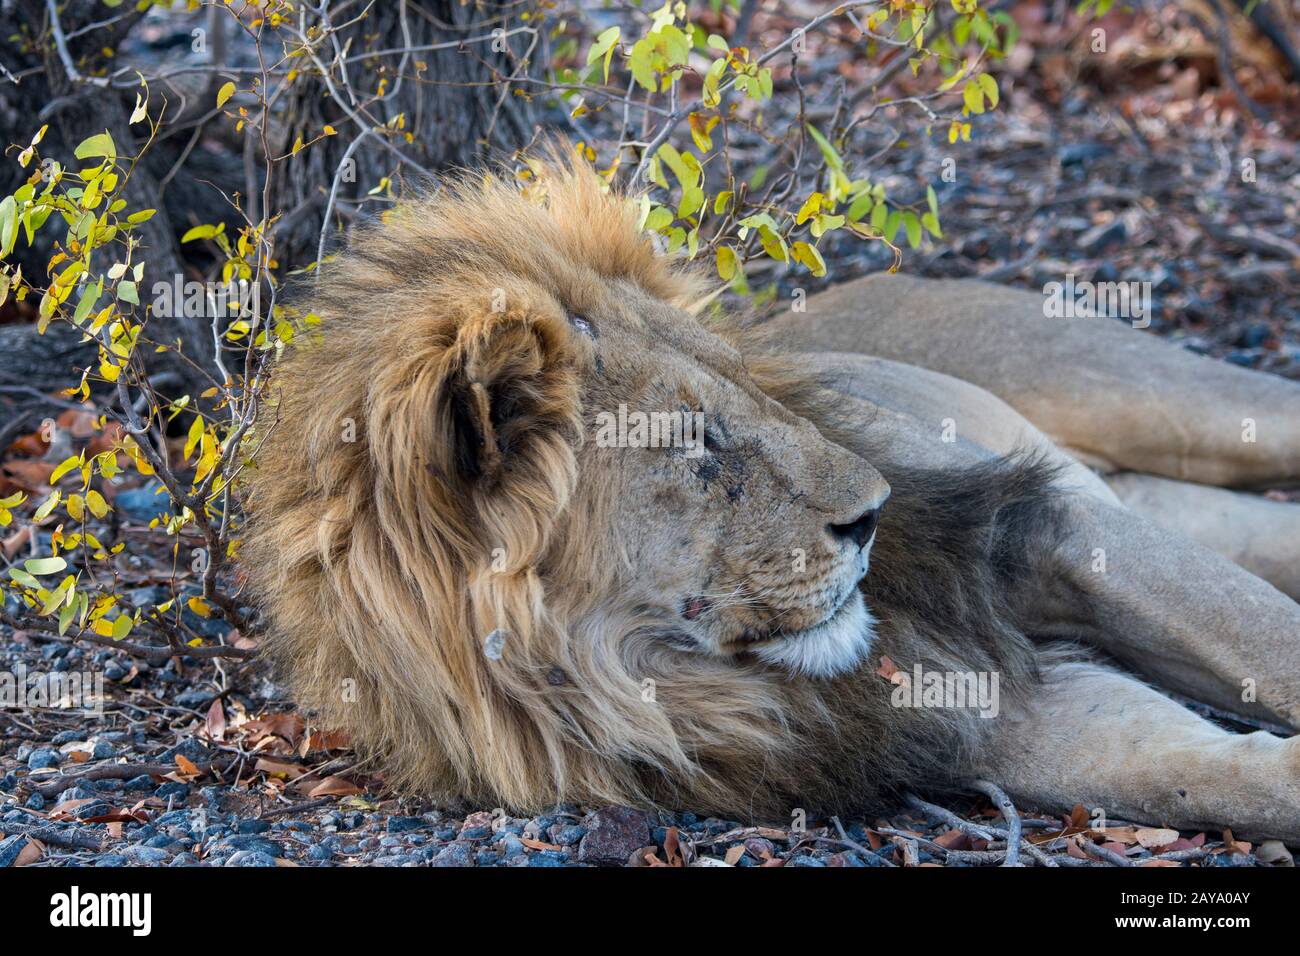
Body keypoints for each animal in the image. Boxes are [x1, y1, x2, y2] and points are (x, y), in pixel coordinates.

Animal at [242, 156, 1300, 844]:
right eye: (693, 439)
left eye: (744, 381)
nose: (873, 515)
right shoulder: (959, 709)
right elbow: (1207, 775)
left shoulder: (1041, 528)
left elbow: (1268, 645)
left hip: (1158, 397)